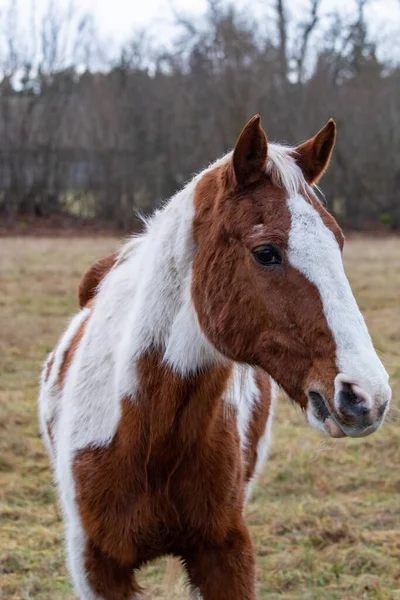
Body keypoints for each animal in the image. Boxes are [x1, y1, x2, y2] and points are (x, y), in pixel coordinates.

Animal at [38, 115, 390, 596]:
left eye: (338, 243)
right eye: (266, 253)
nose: (367, 396)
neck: (146, 436)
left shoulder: (226, 552)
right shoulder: (97, 567)